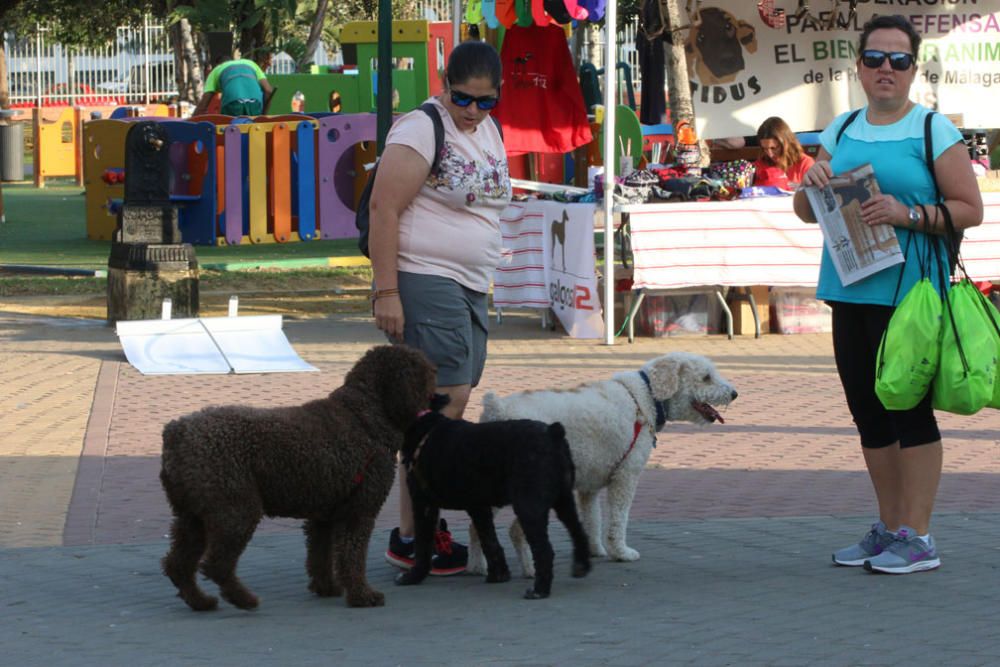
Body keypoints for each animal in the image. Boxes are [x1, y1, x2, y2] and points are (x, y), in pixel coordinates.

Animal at [160, 348, 434, 612]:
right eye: (422, 371)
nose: (436, 375)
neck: (363, 415)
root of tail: (177, 432)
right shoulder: (358, 512)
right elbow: (352, 558)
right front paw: (362, 595)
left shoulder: (325, 517)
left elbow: (320, 556)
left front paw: (327, 587)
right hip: (236, 510)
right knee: (216, 565)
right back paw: (244, 599)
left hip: (192, 516)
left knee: (177, 564)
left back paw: (200, 601)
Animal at [394, 394, 588, 604]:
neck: (425, 429)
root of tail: (553, 433)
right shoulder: (479, 506)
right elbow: (489, 539)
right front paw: (499, 574)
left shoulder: (423, 504)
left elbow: (423, 544)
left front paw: (413, 576)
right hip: (564, 499)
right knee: (578, 530)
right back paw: (581, 565)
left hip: (529, 506)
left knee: (544, 550)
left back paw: (539, 590)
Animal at [468, 352, 736, 576]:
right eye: (706, 377)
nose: (734, 393)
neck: (645, 396)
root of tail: (497, 408)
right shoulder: (625, 477)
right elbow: (618, 519)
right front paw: (621, 552)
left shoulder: (590, 486)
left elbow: (592, 519)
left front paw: (595, 549)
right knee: (513, 530)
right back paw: (529, 569)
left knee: (477, 525)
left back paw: (478, 567)